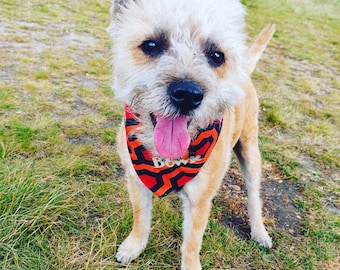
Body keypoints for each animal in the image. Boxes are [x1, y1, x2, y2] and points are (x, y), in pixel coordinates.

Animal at [107, 0, 274, 268]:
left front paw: (190, 264)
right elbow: (140, 218)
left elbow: (191, 243)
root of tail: (243, 72)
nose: (188, 94)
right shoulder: (136, 181)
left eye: (217, 55)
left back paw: (259, 230)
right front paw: (134, 245)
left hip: (250, 151)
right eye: (151, 45)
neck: (167, 161)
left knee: (254, 196)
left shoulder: (200, 201)